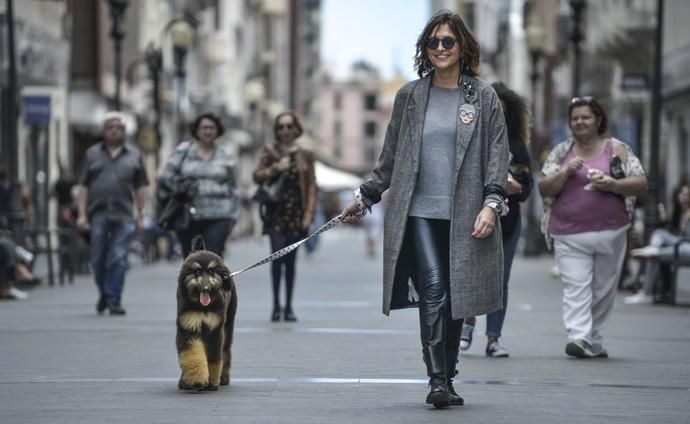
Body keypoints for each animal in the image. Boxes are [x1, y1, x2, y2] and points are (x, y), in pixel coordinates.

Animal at [175, 248, 236, 390]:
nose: (206, 288)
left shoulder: (214, 330)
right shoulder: (189, 326)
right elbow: (192, 354)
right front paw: (197, 380)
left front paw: (212, 381)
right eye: (197, 272)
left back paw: (223, 378)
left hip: (228, 324)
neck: (202, 308)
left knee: (225, 349)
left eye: (211, 272)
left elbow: (214, 357)